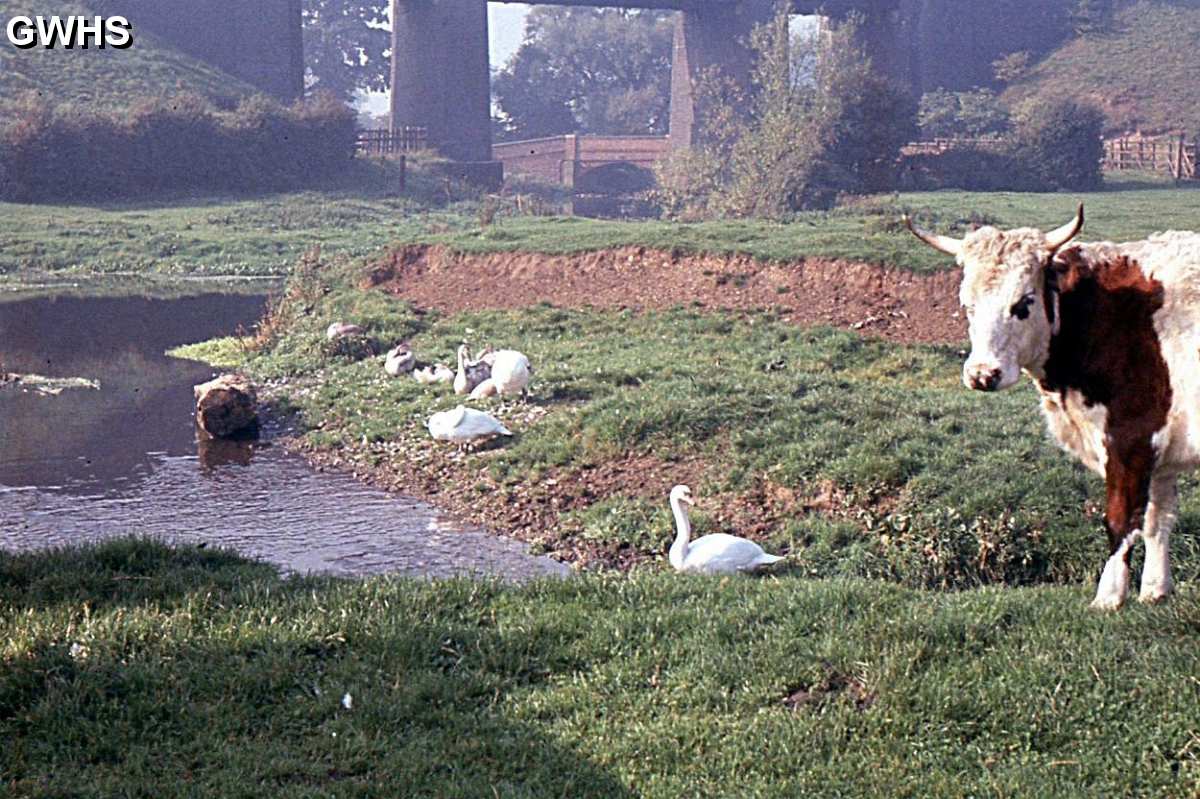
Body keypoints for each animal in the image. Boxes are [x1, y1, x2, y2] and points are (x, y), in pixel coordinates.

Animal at [907, 202, 1200, 607]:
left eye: (1023, 303)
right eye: (967, 306)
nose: (982, 374)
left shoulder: (1129, 439)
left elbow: (1121, 520)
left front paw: (1109, 596)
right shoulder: (1161, 449)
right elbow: (1158, 520)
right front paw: (1155, 590)